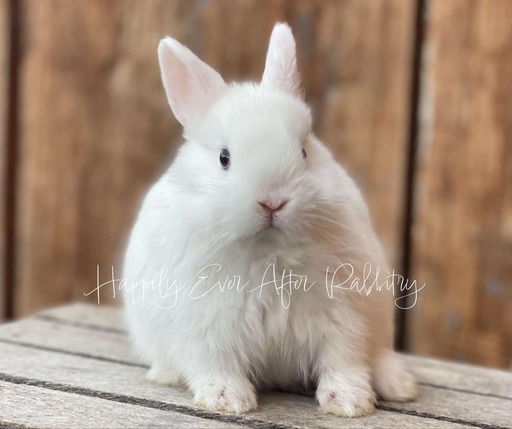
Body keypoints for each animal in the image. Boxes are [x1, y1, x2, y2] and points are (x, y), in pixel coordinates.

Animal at [123, 22, 416, 414]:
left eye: (305, 151)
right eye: (224, 158)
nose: (273, 202)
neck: (268, 254)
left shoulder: (342, 315)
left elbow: (343, 359)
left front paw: (350, 402)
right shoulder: (205, 324)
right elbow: (215, 363)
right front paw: (228, 399)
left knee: (377, 354)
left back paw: (399, 384)